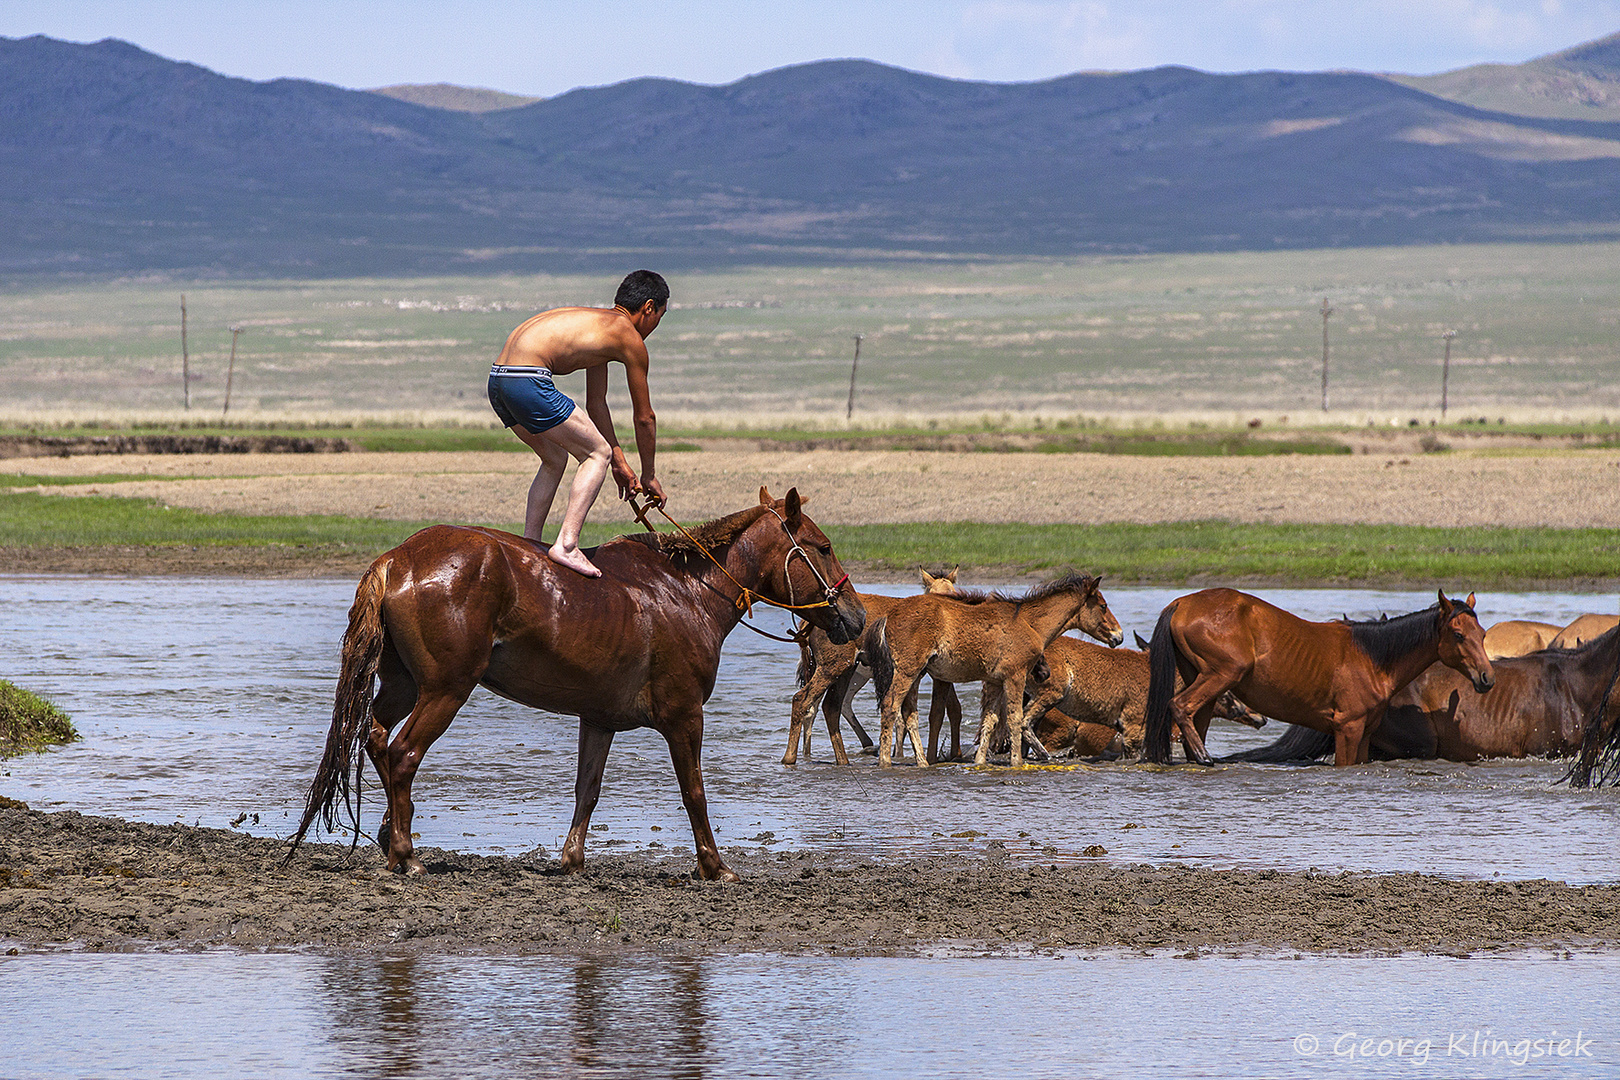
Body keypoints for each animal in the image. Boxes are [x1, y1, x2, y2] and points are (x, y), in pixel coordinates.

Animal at [291, 488, 874, 880]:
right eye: (823, 547)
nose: (856, 616)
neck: (688, 592)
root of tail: (397, 559)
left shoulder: (599, 719)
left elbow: (587, 790)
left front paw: (572, 860)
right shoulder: (685, 716)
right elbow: (694, 793)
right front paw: (714, 866)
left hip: (403, 686)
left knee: (376, 740)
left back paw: (391, 834)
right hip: (445, 690)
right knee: (404, 755)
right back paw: (405, 854)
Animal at [868, 573, 1121, 767]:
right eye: (1103, 606)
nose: (1119, 636)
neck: (1029, 623)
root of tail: (888, 615)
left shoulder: (994, 681)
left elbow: (989, 720)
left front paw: (980, 762)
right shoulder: (1015, 676)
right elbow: (1015, 718)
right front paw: (1017, 762)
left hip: (917, 674)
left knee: (909, 713)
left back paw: (922, 762)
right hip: (907, 671)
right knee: (890, 706)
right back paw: (885, 761)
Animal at [1140, 592, 1490, 767]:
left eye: (1483, 634)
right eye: (1458, 635)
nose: (1487, 678)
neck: (1374, 657)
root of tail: (1181, 603)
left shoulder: (1364, 733)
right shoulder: (1347, 729)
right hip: (1221, 675)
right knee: (1179, 706)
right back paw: (1204, 758)